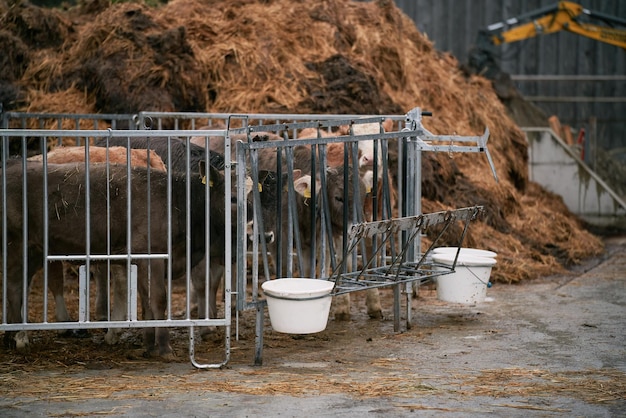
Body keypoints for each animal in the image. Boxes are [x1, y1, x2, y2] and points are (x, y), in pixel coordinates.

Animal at [0, 158, 224, 358]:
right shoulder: (152, 256)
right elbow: (158, 299)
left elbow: (146, 301)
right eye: (229, 197)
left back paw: (12, 336)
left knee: (21, 285)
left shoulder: (140, 260)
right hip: (16, 245)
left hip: (35, 251)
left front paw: (149, 346)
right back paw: (19, 337)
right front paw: (164, 348)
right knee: (14, 287)